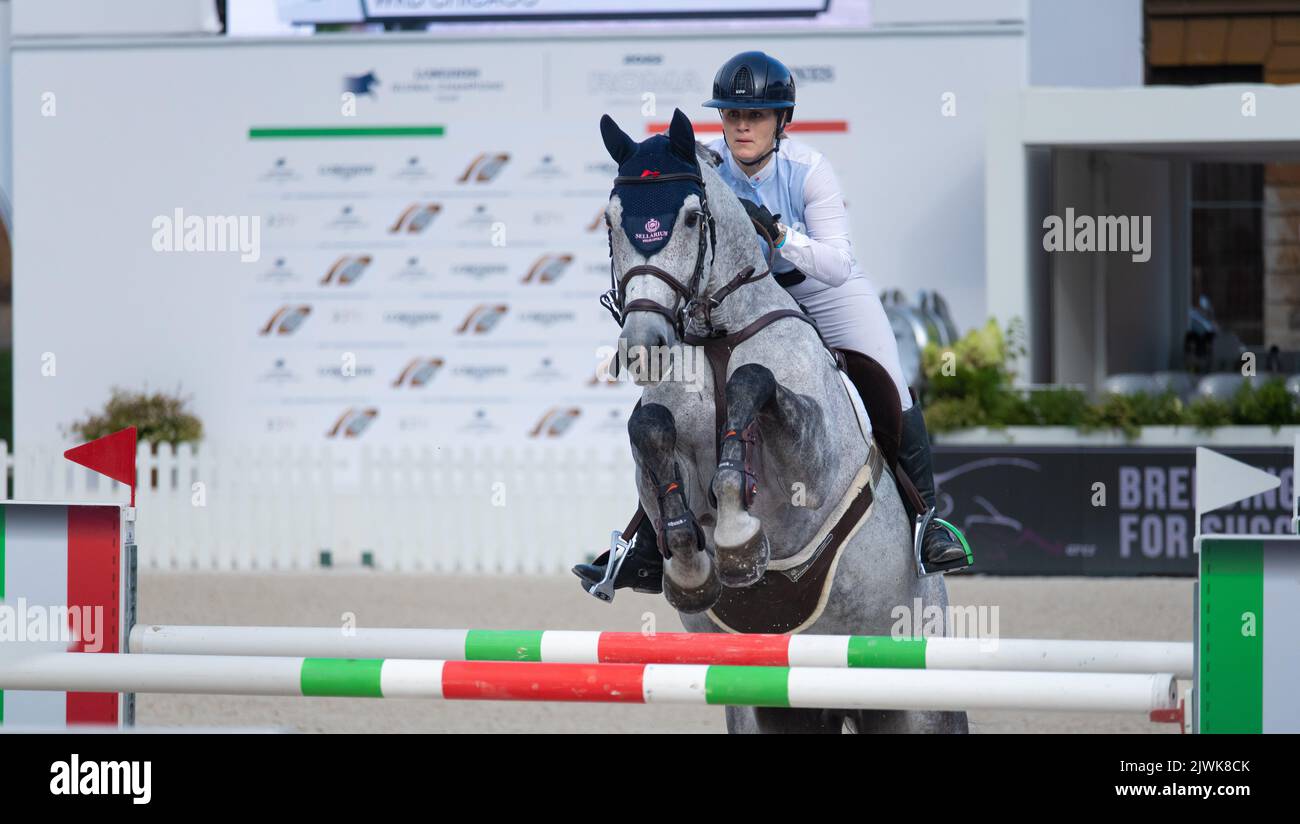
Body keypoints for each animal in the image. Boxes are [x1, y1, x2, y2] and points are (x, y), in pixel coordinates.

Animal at [598, 109, 967, 733]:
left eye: (691, 217)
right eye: (610, 220)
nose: (644, 346)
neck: (716, 335)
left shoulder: (810, 463)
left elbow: (755, 385)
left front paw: (737, 537)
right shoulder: (658, 445)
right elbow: (648, 431)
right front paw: (690, 565)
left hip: (914, 703)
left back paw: (937, 542)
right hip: (769, 705)